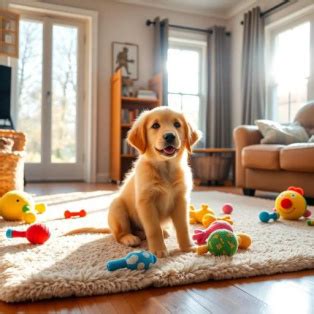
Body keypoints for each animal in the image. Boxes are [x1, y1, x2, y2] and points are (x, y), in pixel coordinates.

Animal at [108, 106, 200, 256]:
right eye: (155, 126)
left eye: (177, 124)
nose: (170, 136)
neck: (165, 169)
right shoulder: (146, 202)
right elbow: (153, 229)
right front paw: (159, 249)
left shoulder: (181, 200)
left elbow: (183, 226)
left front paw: (187, 246)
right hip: (118, 208)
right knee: (119, 234)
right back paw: (130, 238)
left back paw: (159, 232)